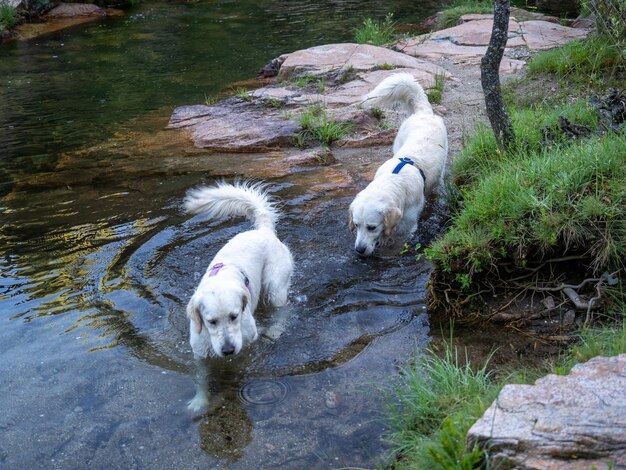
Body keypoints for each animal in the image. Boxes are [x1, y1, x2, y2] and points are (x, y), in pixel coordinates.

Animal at [183, 182, 292, 410]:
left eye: (234, 317)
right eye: (211, 322)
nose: (228, 350)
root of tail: (263, 230)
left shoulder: (248, 343)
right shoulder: (199, 354)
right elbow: (201, 379)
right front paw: (199, 402)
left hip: (275, 287)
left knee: (281, 310)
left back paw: (275, 329)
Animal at [348, 72, 446, 258]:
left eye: (372, 227)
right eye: (356, 225)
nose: (359, 250)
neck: (395, 180)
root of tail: (423, 112)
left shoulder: (406, 227)